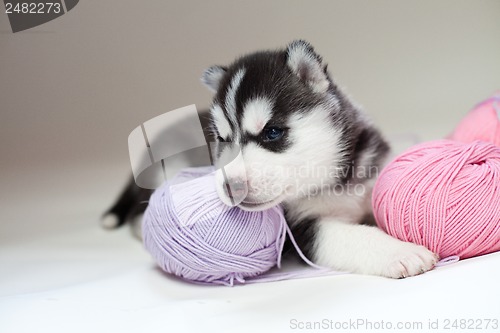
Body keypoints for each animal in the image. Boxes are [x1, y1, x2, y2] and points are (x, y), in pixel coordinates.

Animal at [104, 40, 438, 276]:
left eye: (272, 132)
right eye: (223, 139)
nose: (231, 187)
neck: (329, 181)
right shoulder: (302, 230)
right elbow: (349, 237)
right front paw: (400, 253)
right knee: (139, 209)